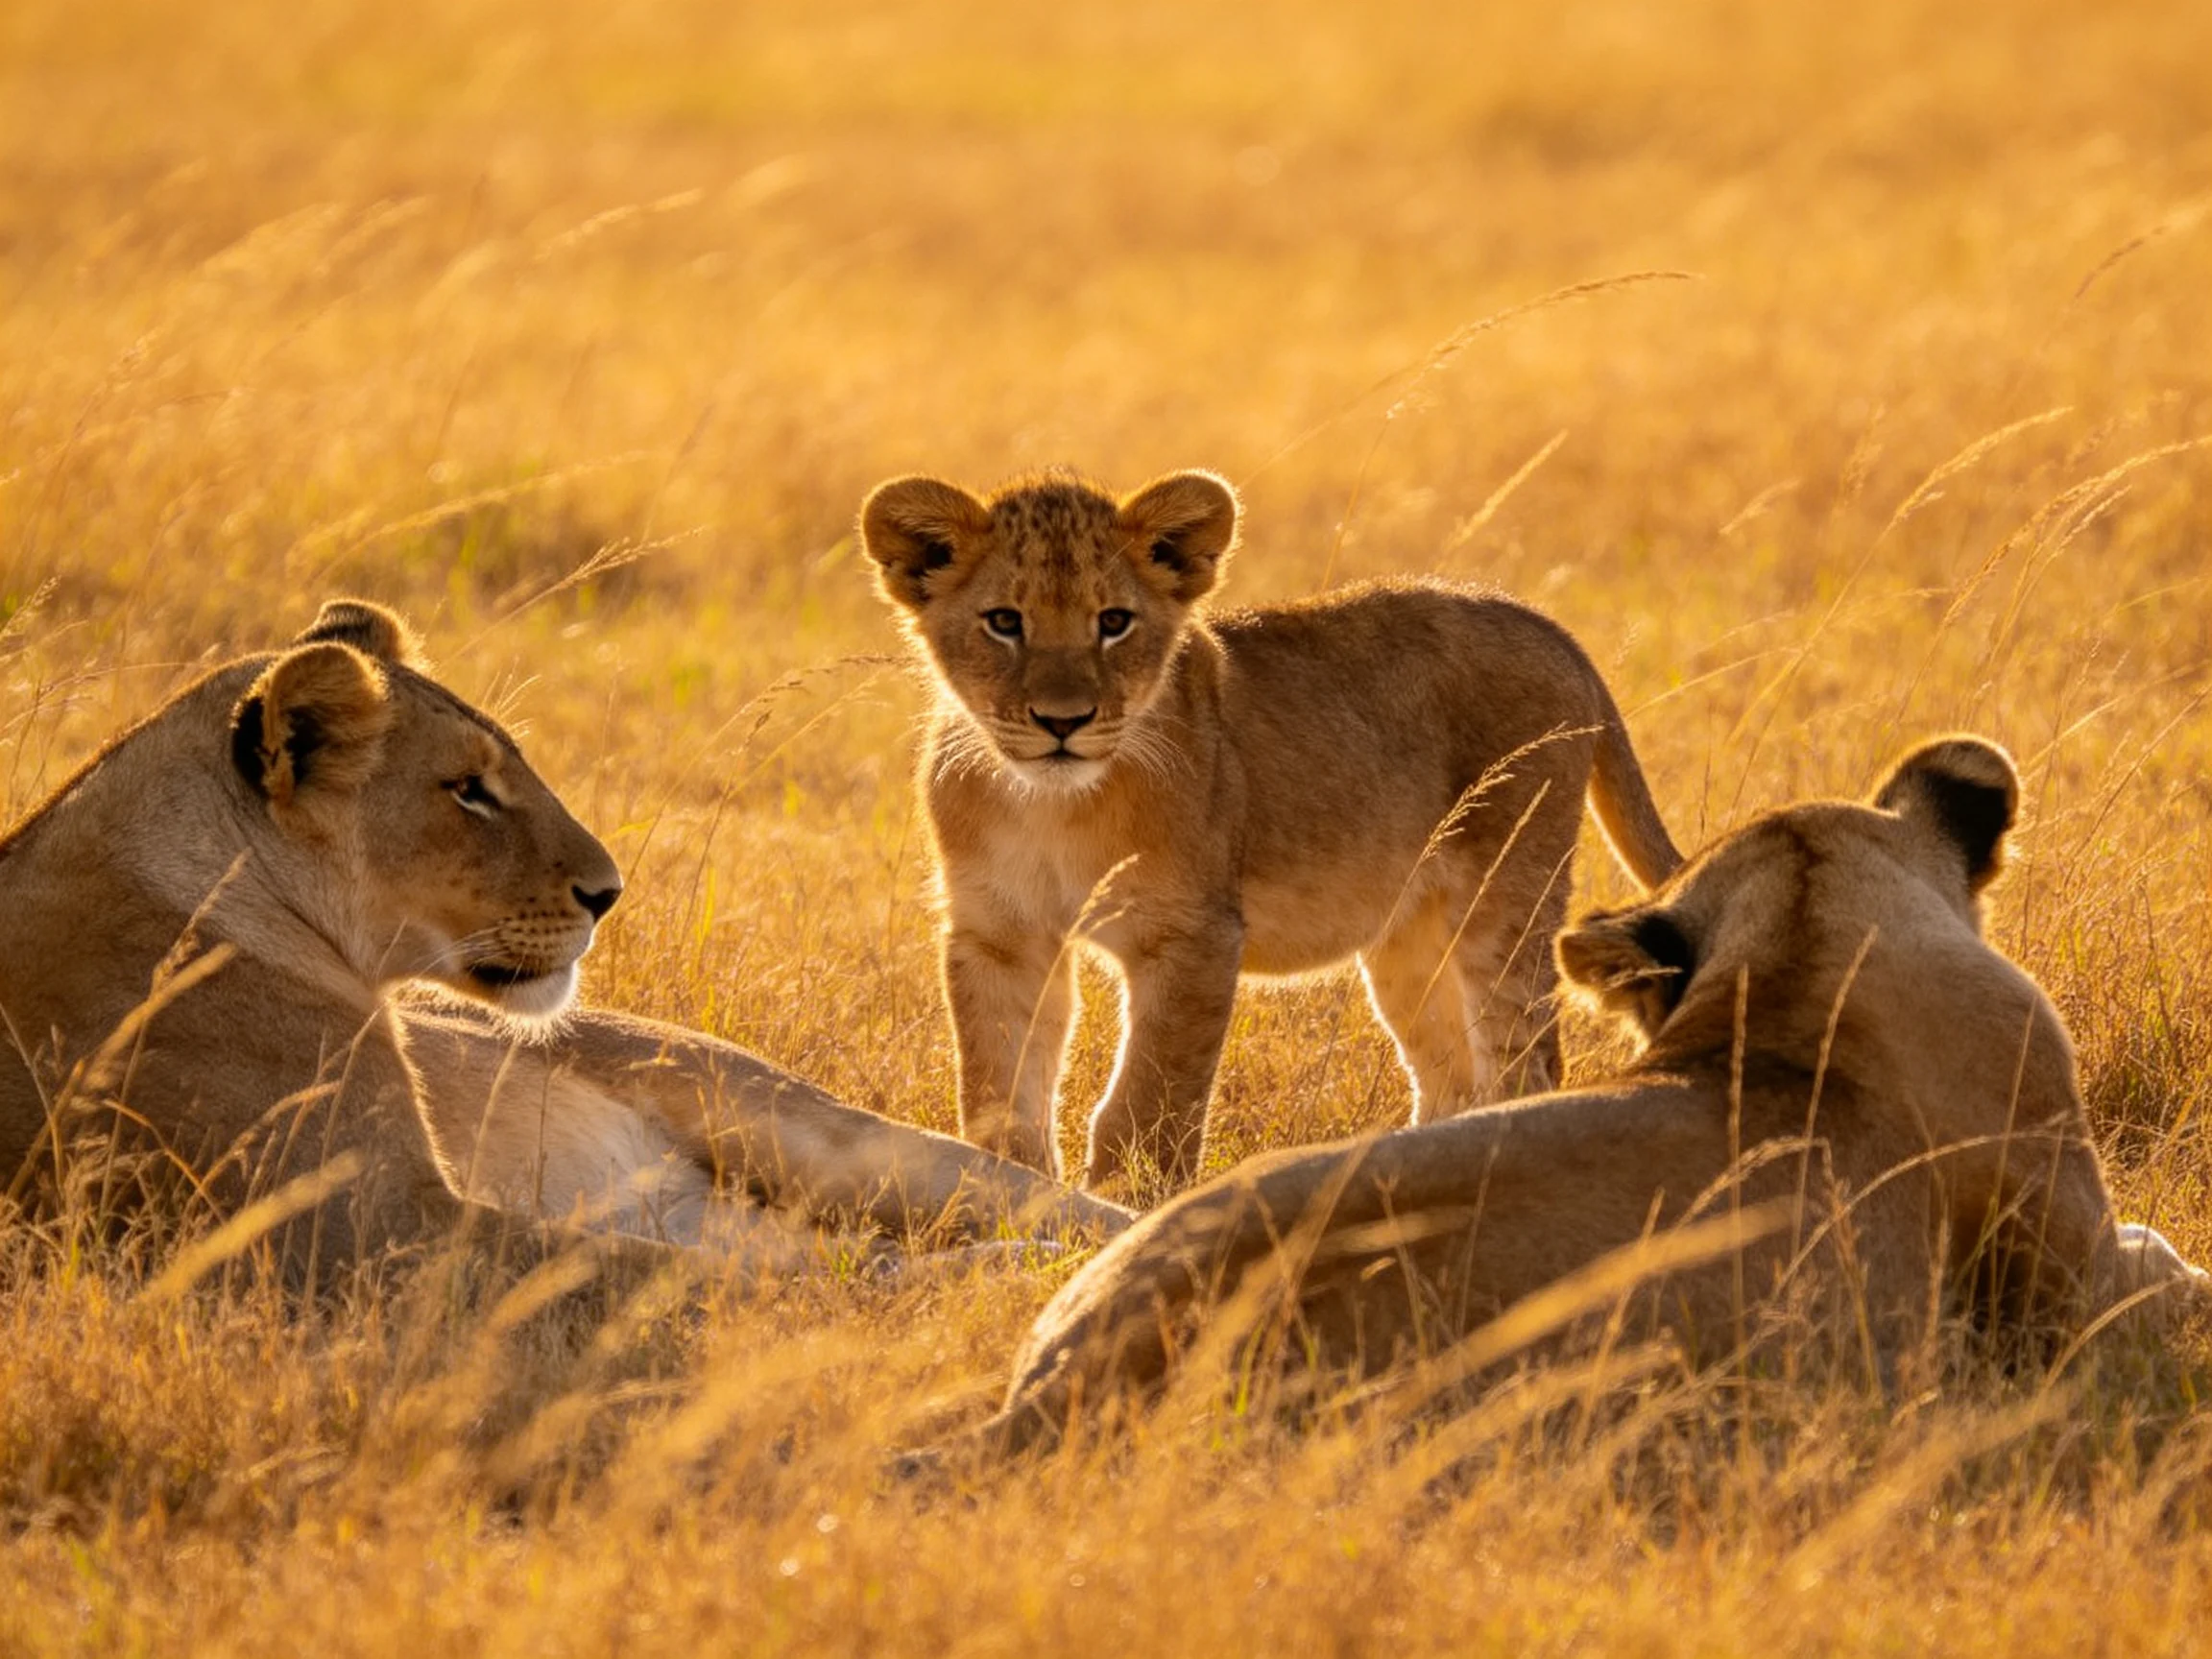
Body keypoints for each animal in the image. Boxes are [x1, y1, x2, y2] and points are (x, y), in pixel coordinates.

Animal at [0, 600, 1124, 1287]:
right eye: (467, 789)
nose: (609, 893)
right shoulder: (384, 1225)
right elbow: (677, 1273)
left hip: (796, 1119)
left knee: (1042, 1197)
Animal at [859, 467, 1683, 1192]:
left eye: (1113, 622)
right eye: (1005, 622)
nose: (1063, 722)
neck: (1052, 806)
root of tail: (1544, 622)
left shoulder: (1192, 934)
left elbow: (1149, 1097)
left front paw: (1127, 1203)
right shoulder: (1000, 933)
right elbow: (998, 1088)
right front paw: (1015, 1191)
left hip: (1506, 892)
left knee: (1525, 1061)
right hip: (1410, 935)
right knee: (1450, 1076)